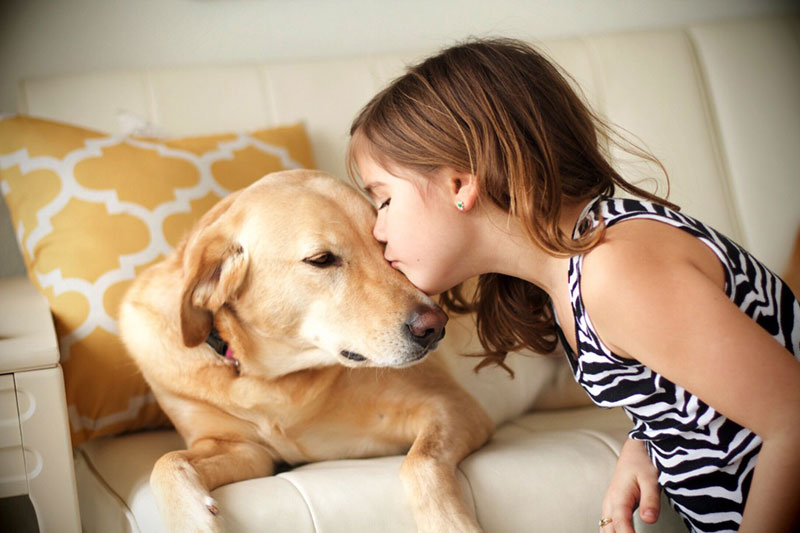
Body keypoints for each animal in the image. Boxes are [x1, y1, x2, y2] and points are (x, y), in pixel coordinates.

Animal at [120, 170, 580, 532]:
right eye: (322, 259)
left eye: (383, 243)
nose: (435, 327)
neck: (272, 383)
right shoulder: (244, 450)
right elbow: (167, 462)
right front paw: (193, 520)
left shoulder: (453, 407)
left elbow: (419, 464)